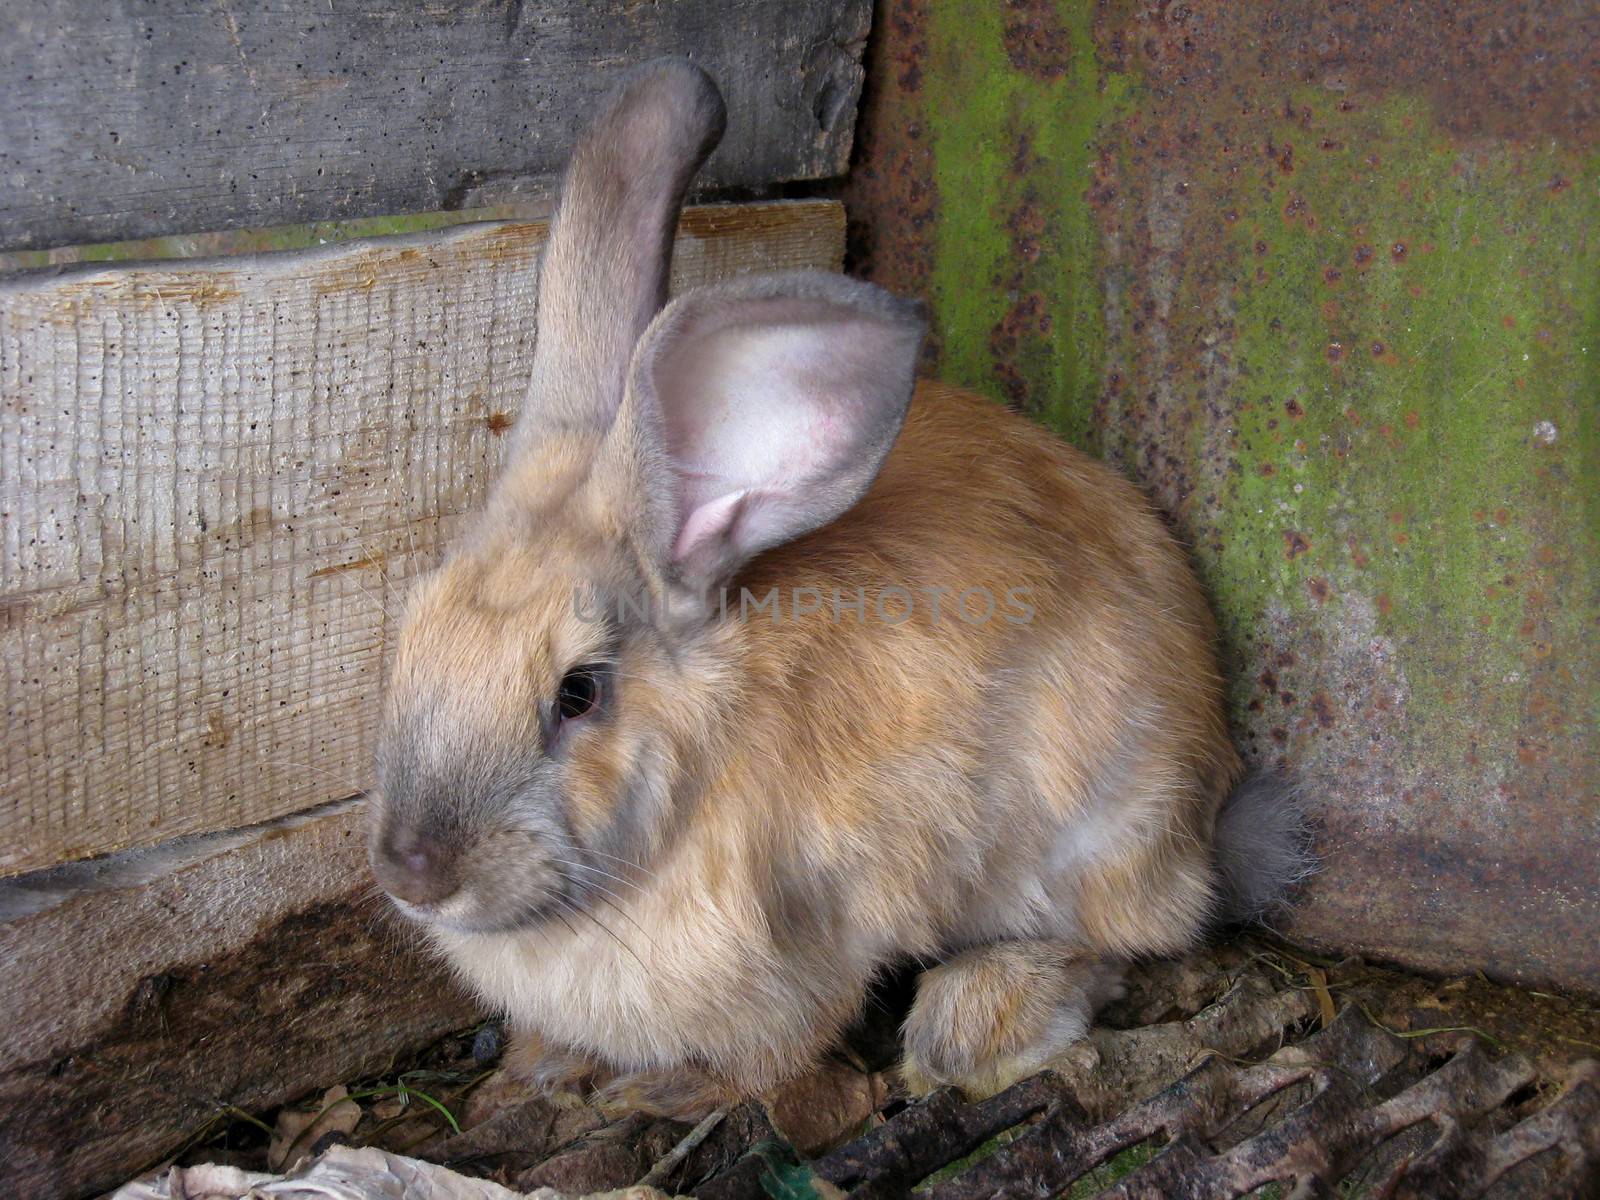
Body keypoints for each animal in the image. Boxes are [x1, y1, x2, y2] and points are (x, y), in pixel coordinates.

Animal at [368, 63, 1305, 1120]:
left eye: (578, 693)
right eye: (411, 635)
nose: (412, 872)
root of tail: (1214, 786)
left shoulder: (809, 950)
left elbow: (774, 1051)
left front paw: (661, 1092)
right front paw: (544, 1066)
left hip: (1103, 827)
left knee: (1129, 938)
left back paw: (977, 1021)